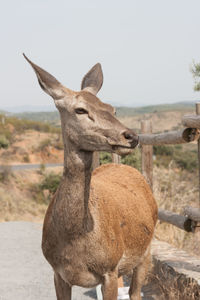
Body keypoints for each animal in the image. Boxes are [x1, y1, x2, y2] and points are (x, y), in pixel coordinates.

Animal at [23, 54, 158, 300]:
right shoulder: (57, 273)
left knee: (135, 292)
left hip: (146, 252)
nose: (131, 136)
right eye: (80, 110)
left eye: (112, 109)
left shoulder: (110, 269)